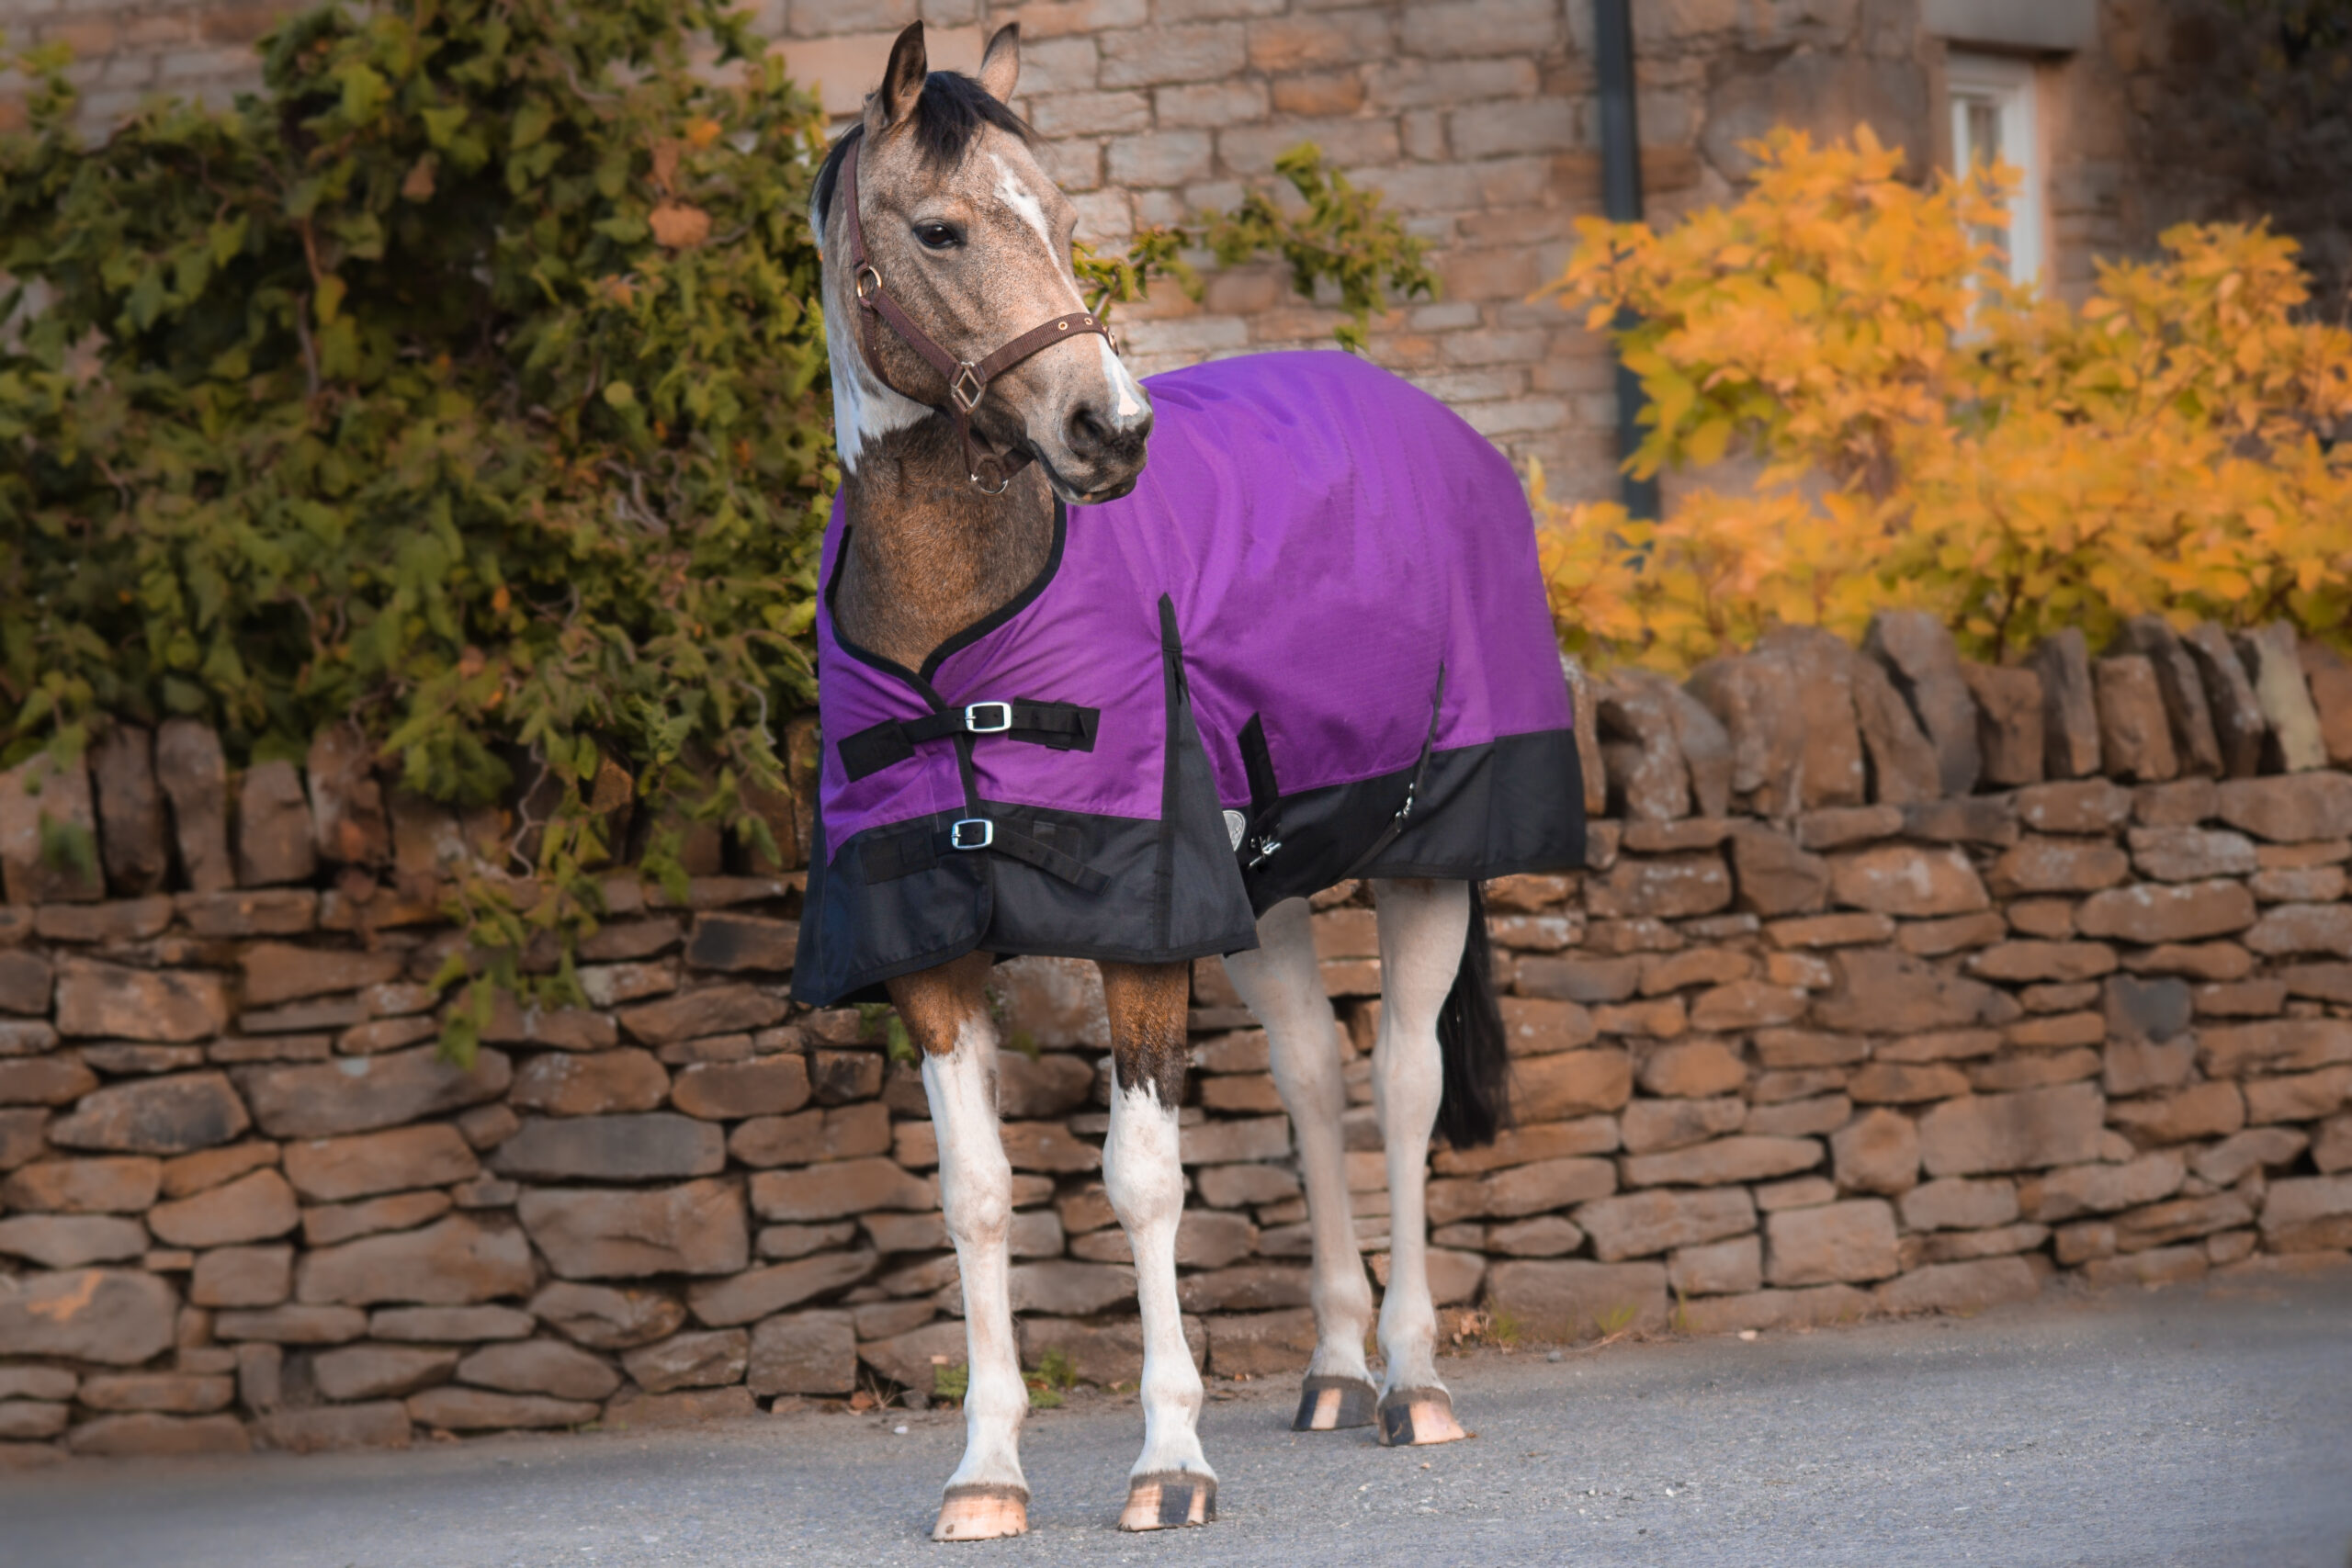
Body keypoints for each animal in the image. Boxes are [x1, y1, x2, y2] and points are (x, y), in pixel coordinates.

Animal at [791, 21, 1585, 1540]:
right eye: (939, 227)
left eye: (1062, 213)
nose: (1112, 429)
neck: (954, 640)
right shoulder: (929, 947)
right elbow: (977, 1194)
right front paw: (986, 1469)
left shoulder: (1144, 922)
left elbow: (1144, 1176)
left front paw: (1171, 1457)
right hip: (1265, 888)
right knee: (1313, 1077)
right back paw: (1333, 1368)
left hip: (1426, 861)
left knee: (1401, 1083)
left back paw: (1412, 1379)